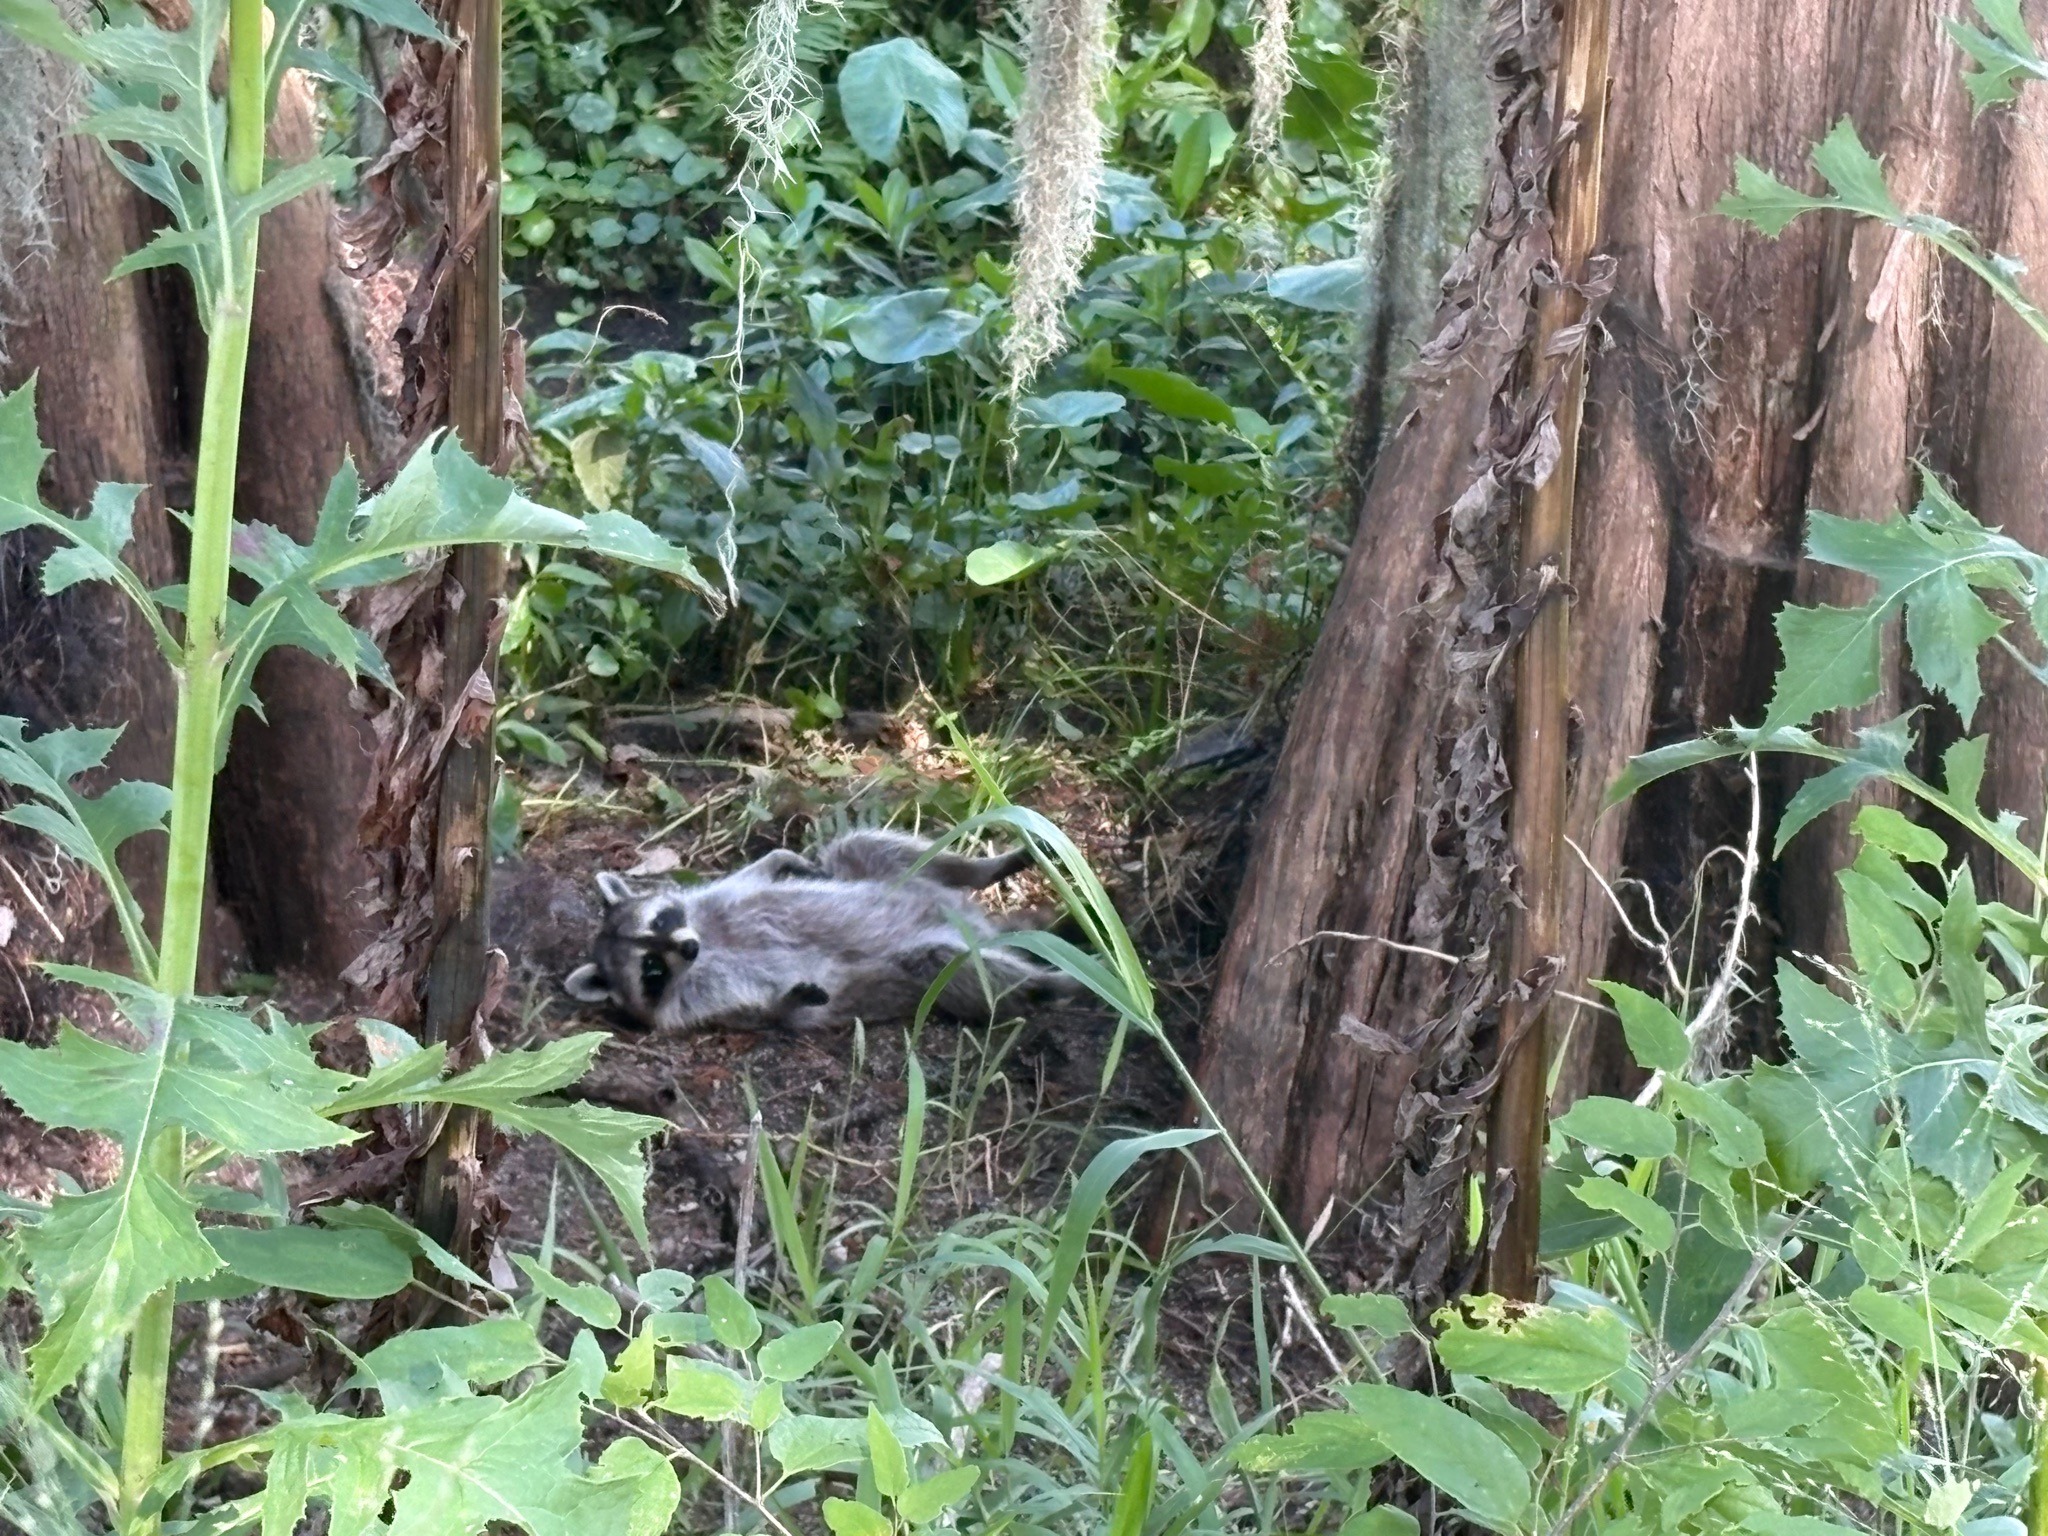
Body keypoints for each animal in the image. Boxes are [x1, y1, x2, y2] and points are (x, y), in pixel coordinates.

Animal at [563, 829, 1077, 1034]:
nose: (689, 948)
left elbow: (755, 875)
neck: (710, 945)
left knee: (862, 845)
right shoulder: (693, 1009)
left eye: (661, 920)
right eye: (651, 969)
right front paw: (789, 999)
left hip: (896, 876)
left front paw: (781, 858)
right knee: (953, 963)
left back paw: (989, 867)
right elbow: (776, 1014)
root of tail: (978, 923)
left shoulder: (711, 900)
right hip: (935, 961)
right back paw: (1053, 982)